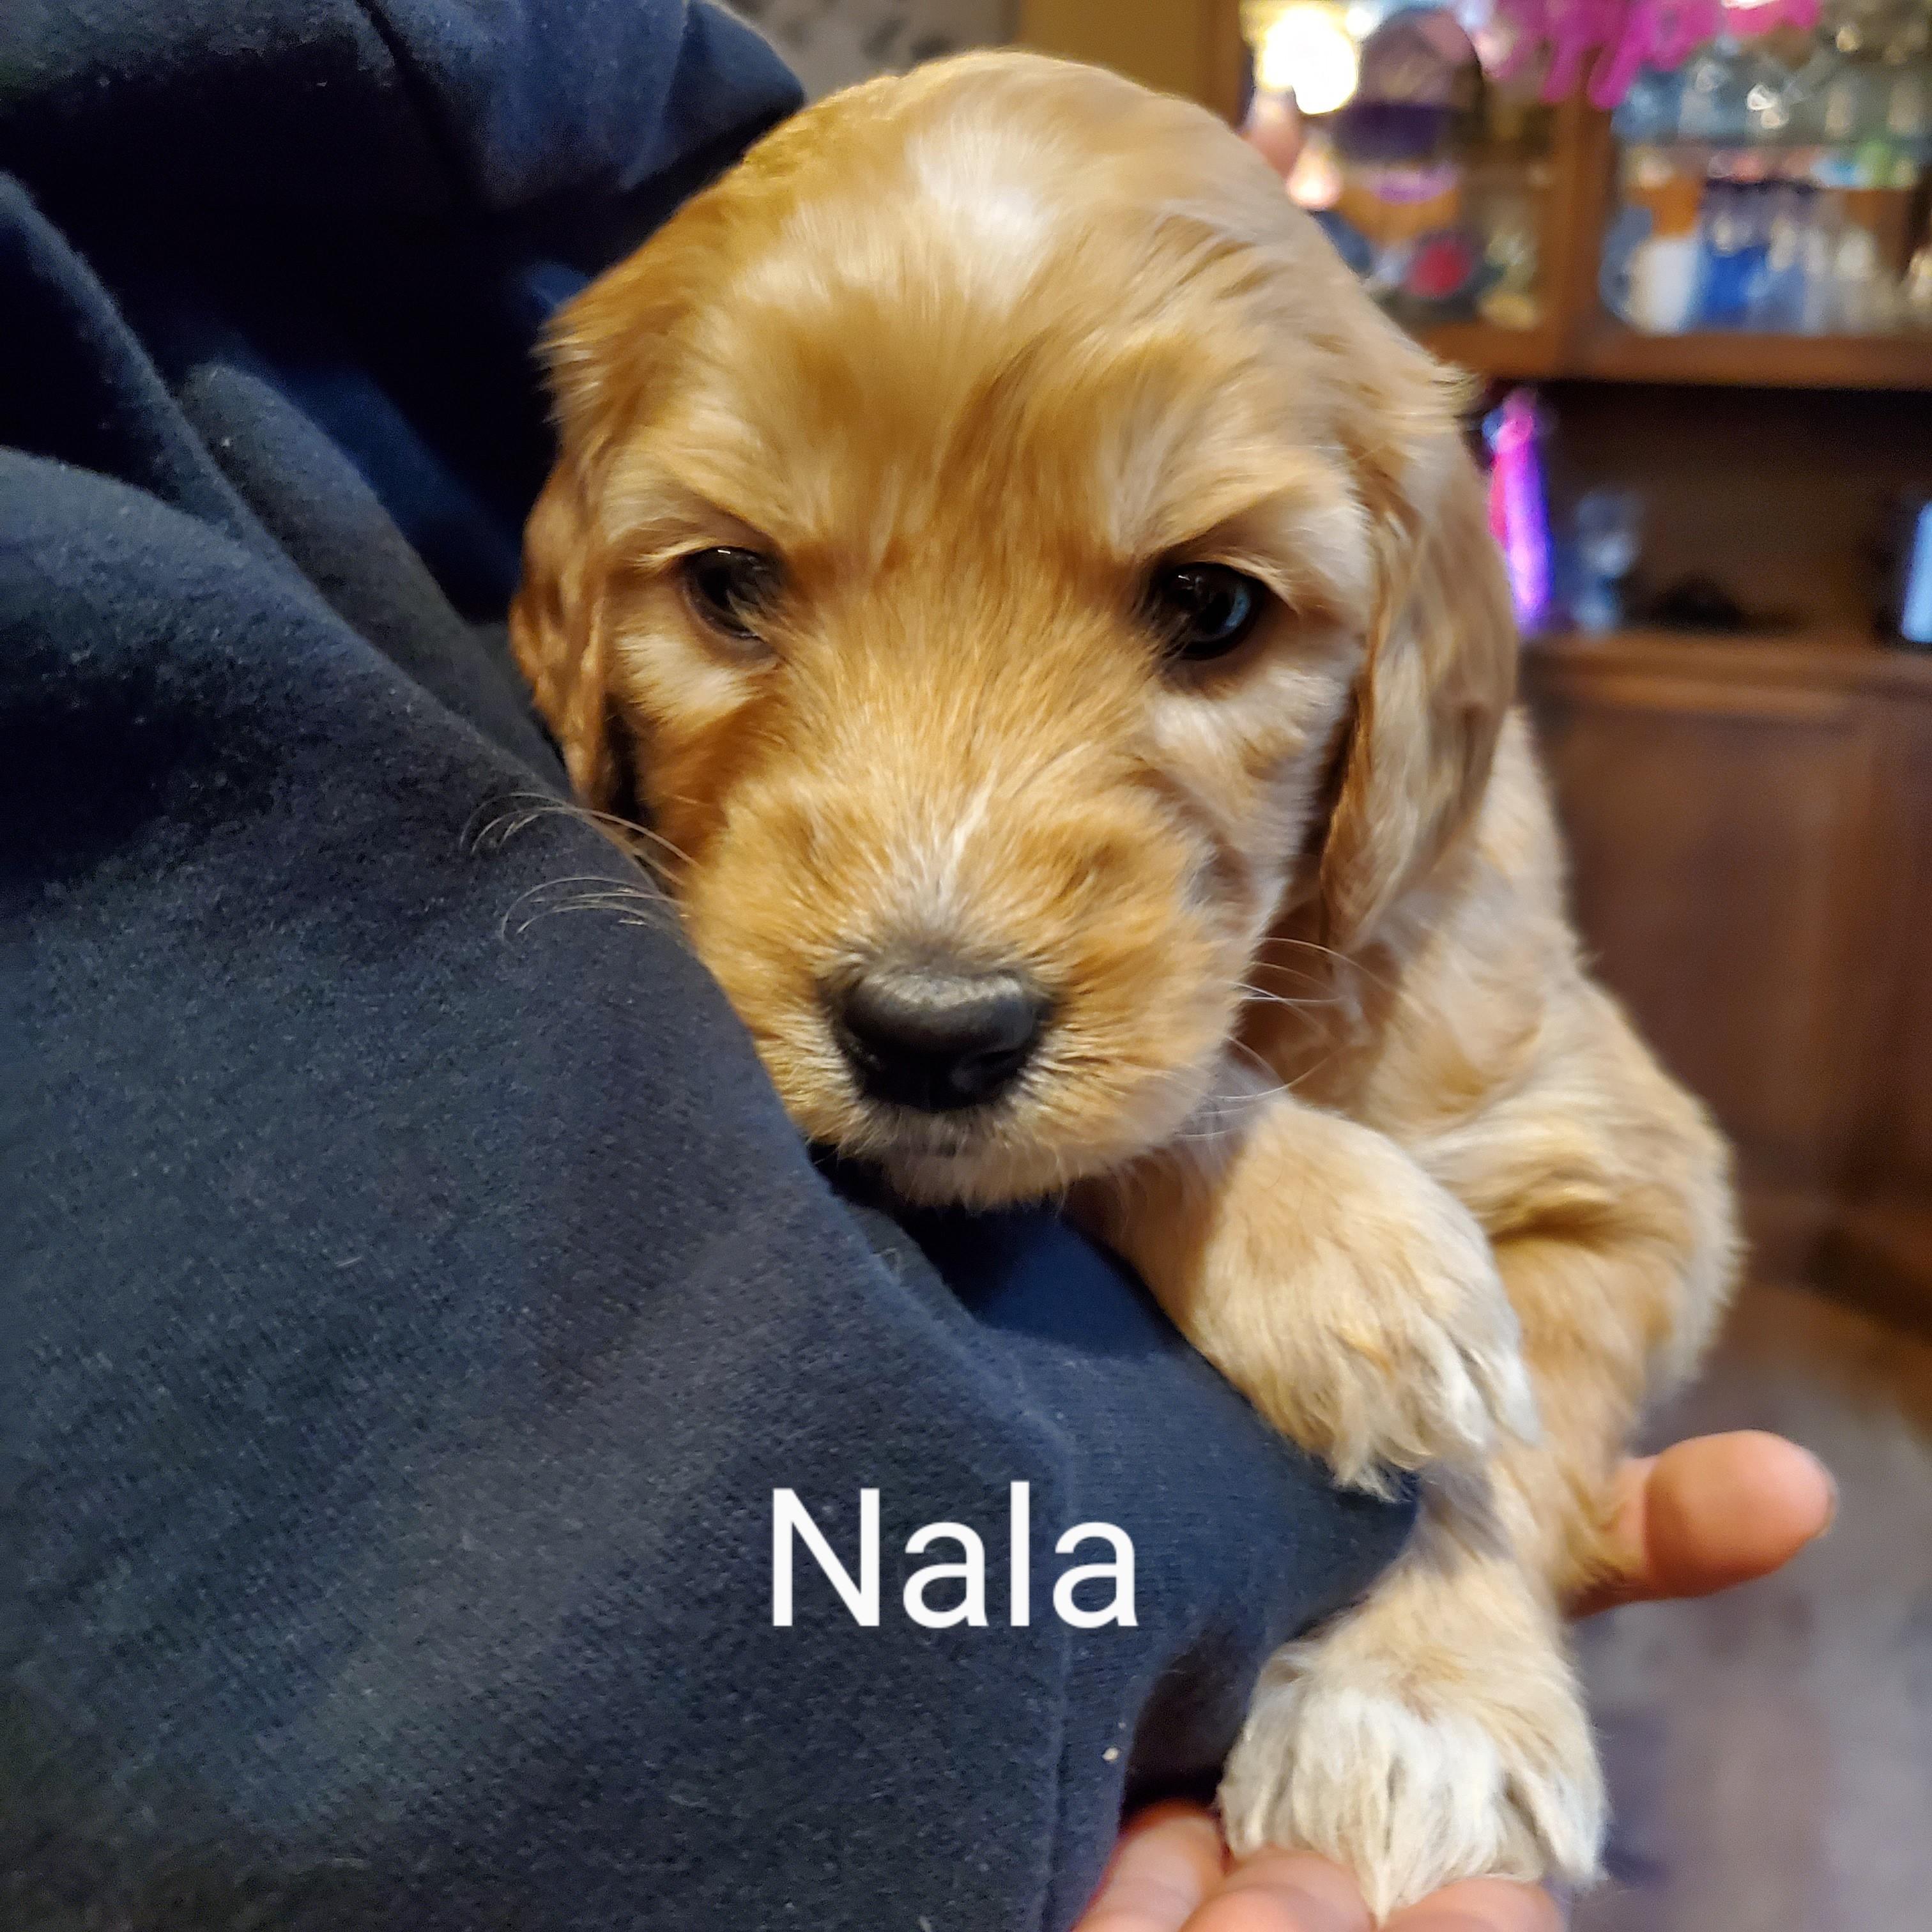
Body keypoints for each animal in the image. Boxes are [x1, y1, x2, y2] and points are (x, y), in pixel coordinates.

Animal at [510, 50, 1738, 1919]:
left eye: (1213, 608)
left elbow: (1516, 1431)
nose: (928, 1032)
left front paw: (1421, 1693)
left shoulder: (1631, 1165)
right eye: (727, 584)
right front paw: (1333, 1240)